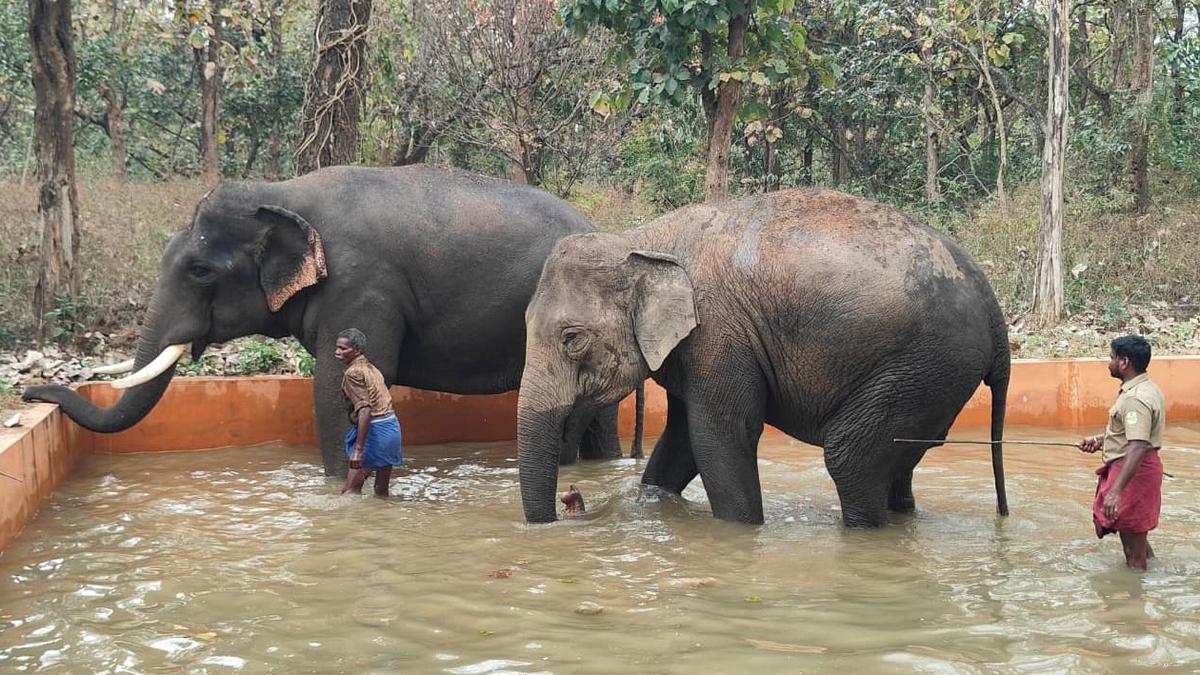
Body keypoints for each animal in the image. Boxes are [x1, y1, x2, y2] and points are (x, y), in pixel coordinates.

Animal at [516, 188, 1009, 527]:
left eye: (572, 339)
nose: (571, 500)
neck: (641, 239)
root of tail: (994, 309)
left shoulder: (719, 335)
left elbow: (719, 437)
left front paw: (741, 530)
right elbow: (681, 438)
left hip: (923, 366)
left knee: (851, 460)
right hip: (933, 379)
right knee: (899, 463)